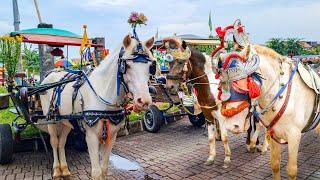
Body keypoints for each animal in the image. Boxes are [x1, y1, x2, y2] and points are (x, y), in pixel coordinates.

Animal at [38, 34, 156, 179]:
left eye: (150, 66)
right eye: (127, 65)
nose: (143, 101)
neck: (103, 94)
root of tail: (51, 74)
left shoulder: (112, 136)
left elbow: (104, 169)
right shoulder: (91, 137)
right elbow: (96, 172)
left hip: (66, 121)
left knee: (62, 143)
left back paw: (64, 169)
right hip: (51, 120)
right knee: (54, 142)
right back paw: (56, 170)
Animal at [220, 44, 320, 179]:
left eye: (241, 84)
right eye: (222, 84)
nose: (232, 125)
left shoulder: (294, 135)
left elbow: (291, 171)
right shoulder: (274, 133)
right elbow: (275, 164)